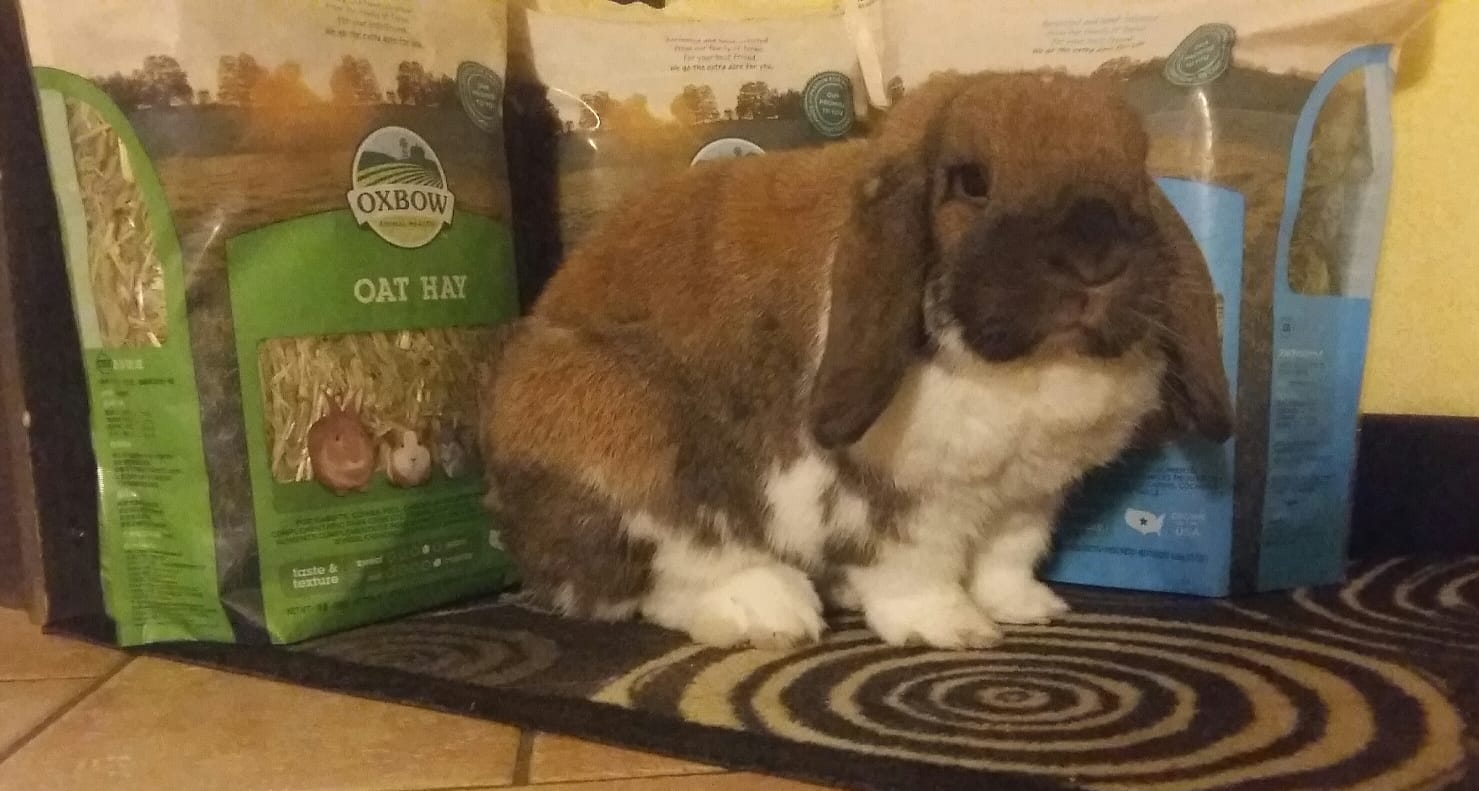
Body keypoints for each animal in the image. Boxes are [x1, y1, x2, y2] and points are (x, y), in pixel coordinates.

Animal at [479, 70, 1232, 650]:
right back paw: (770, 610)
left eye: (1134, 171)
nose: (1096, 254)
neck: (1027, 369)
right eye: (971, 180)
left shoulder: (1026, 499)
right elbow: (916, 568)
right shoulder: (895, 503)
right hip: (621, 442)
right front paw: (955, 629)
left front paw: (1028, 608)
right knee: (656, 575)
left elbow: (1007, 557)